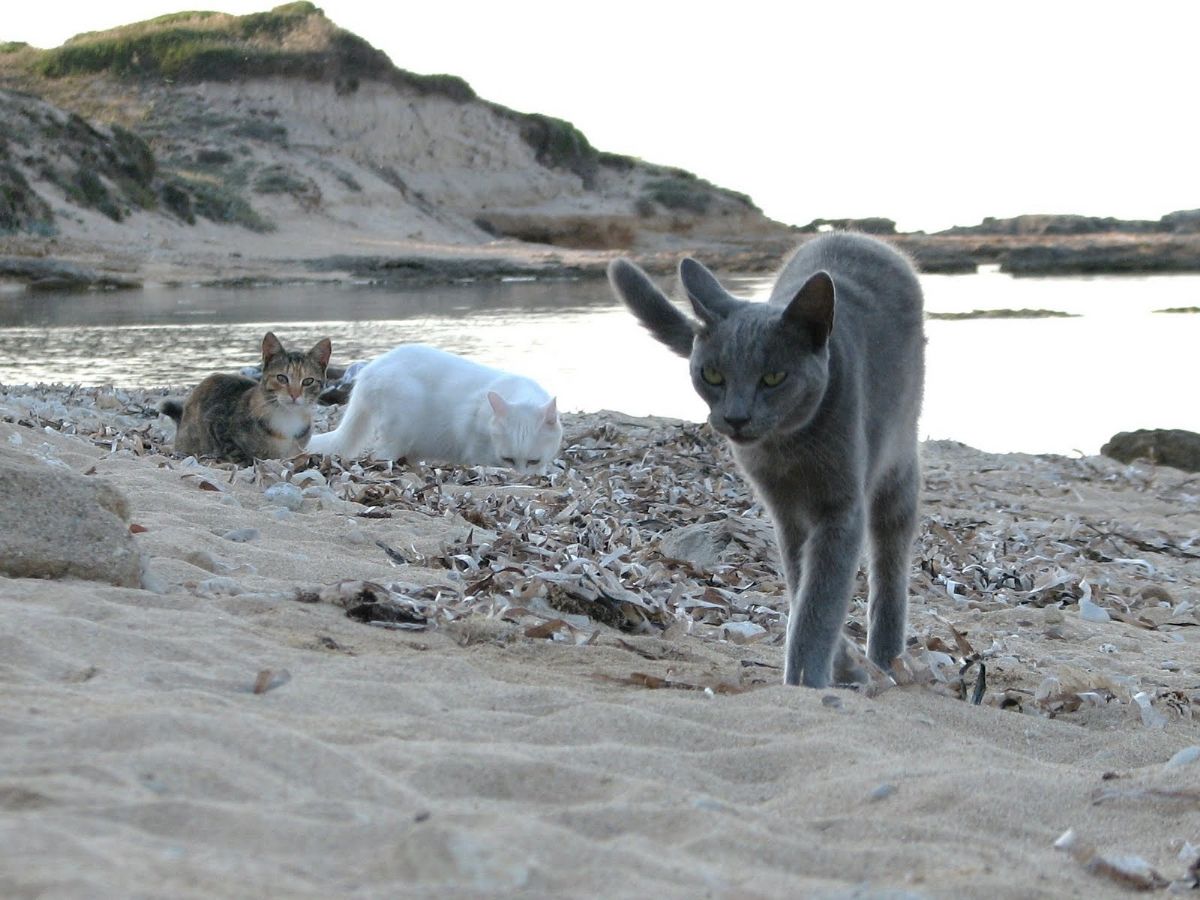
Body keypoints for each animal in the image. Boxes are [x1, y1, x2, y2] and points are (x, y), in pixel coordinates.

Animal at [302, 343, 559, 472]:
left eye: (533, 461)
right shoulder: (477, 446)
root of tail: (368, 372)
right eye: (508, 460)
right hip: (401, 422)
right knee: (381, 455)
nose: (522, 477)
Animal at [609, 234, 926, 691]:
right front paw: (834, 666)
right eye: (712, 375)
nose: (737, 417)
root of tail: (859, 236)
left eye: (774, 378)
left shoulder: (840, 508)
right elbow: (801, 586)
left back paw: (886, 658)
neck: (786, 450)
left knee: (890, 560)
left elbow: (821, 598)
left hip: (898, 460)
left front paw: (808, 678)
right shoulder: (786, 513)